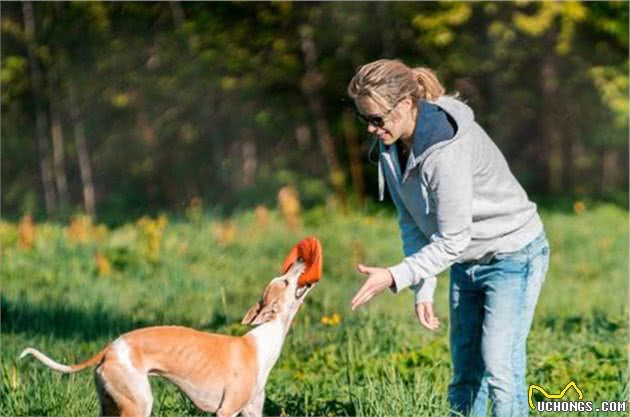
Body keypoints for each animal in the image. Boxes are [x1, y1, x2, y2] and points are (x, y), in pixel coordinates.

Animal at [18, 237, 326, 416]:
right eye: (284, 280)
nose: (301, 259)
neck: (262, 340)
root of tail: (109, 349)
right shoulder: (225, 410)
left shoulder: (252, 411)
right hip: (138, 404)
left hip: (111, 404)